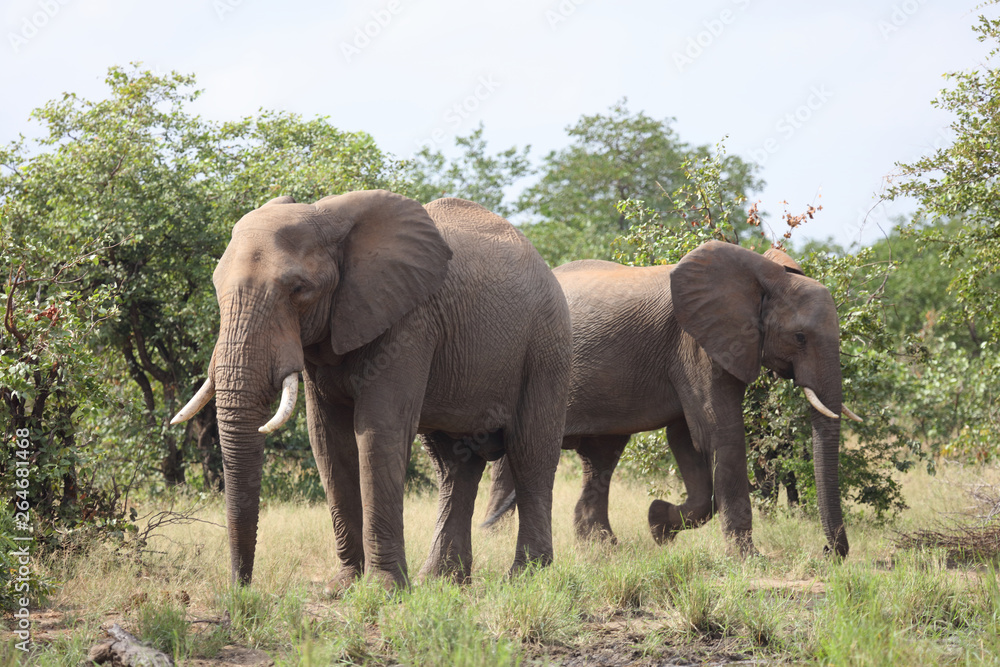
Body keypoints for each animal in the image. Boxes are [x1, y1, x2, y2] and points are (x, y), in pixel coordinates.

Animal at [482, 241, 860, 560]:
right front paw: (748, 560)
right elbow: (720, 433)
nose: (828, 551)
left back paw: (603, 547)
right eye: (800, 337)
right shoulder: (696, 344)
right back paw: (496, 539)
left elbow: (686, 439)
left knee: (602, 456)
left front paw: (658, 525)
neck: (764, 277)